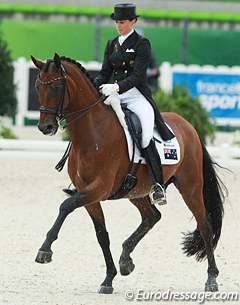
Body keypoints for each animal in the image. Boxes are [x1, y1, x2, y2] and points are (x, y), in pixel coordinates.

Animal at [31, 53, 226, 294]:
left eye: (57, 87)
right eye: (38, 86)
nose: (45, 127)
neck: (92, 132)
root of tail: (188, 126)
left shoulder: (99, 188)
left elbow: (65, 206)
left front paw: (45, 250)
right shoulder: (89, 195)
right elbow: (102, 235)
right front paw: (108, 279)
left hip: (190, 186)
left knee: (205, 225)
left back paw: (211, 278)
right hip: (137, 191)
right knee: (152, 216)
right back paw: (126, 260)